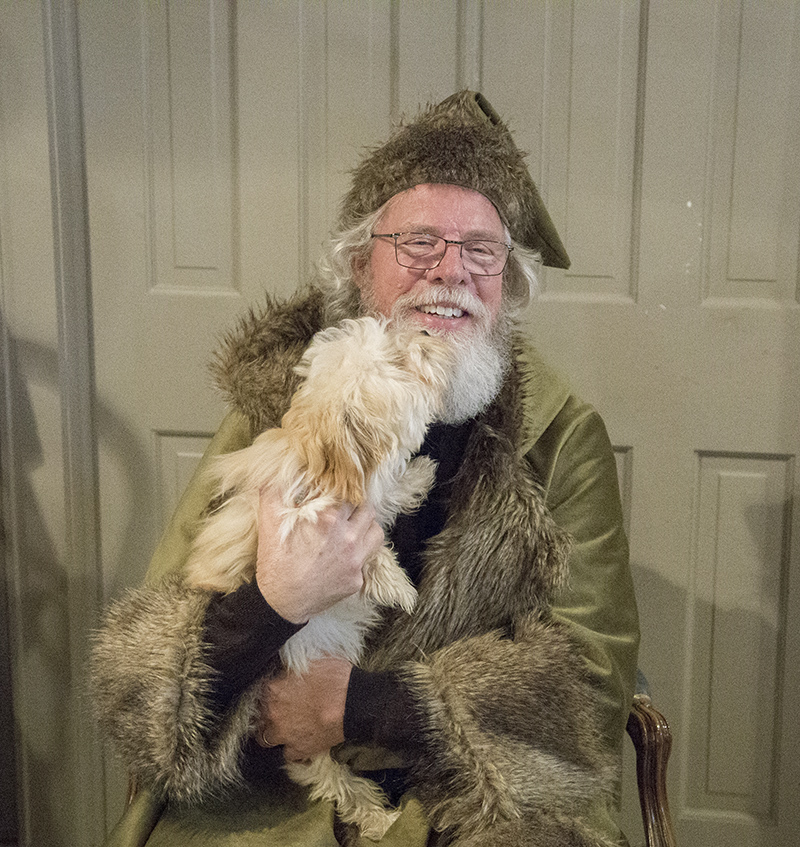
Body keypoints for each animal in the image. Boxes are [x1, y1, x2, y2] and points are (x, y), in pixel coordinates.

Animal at [184, 318, 454, 840]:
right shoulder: (298, 520)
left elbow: (386, 497)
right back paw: (376, 816)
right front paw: (398, 587)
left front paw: (417, 475)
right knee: (327, 777)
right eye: (397, 360)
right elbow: (361, 547)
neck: (328, 455)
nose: (429, 335)